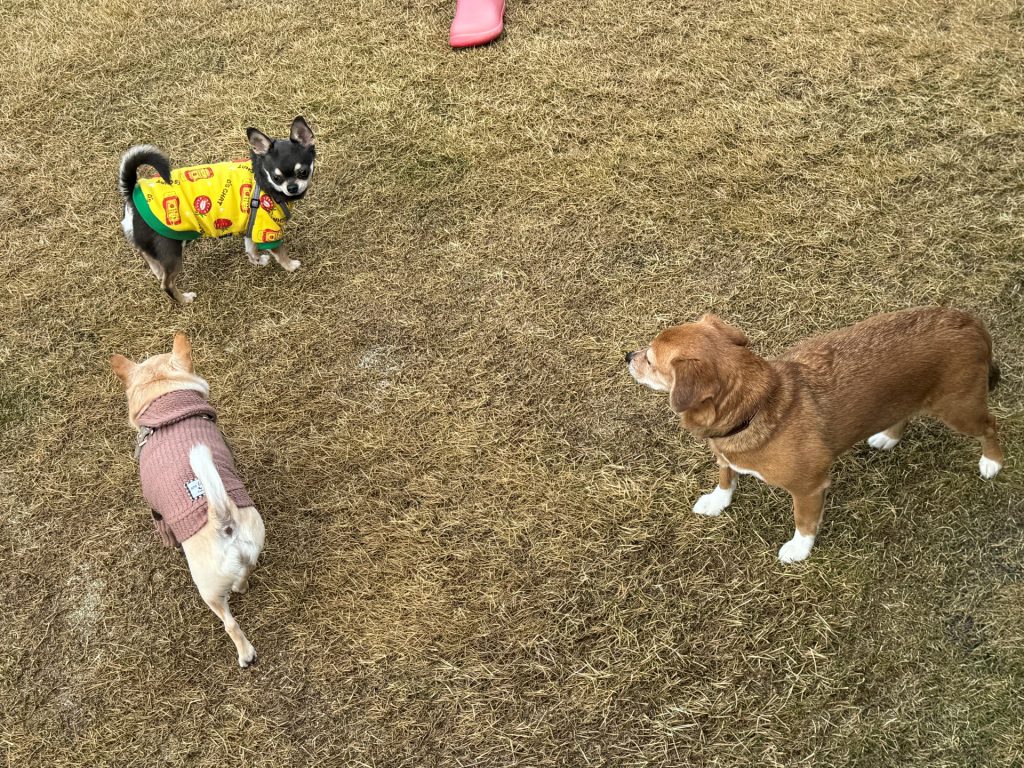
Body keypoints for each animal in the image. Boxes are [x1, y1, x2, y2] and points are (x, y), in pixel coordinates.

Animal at [110, 335, 266, 667]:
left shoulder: (156, 509)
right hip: (250, 548)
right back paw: (242, 586)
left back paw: (245, 653)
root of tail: (223, 520)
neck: (165, 399)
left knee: (230, 623)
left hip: (207, 588)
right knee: (245, 573)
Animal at [626, 307, 1003, 565]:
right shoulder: (726, 456)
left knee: (991, 426)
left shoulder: (808, 488)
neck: (756, 407)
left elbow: (804, 522)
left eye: (650, 359)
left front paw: (799, 549)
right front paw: (717, 501)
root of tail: (971, 322)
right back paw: (888, 437)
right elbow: (726, 477)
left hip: (959, 410)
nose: (627, 355)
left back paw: (992, 462)